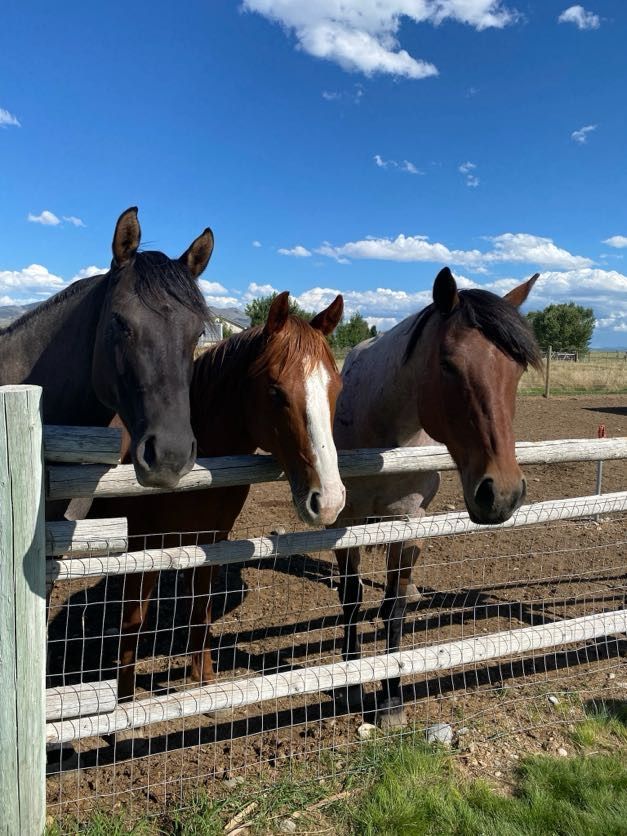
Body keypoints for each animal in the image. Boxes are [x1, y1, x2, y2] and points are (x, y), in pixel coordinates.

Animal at [89, 291, 346, 697]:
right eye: (275, 392)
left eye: (336, 387)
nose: (329, 501)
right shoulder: (143, 545)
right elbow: (134, 617)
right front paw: (126, 696)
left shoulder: (212, 539)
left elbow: (200, 607)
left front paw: (203, 679)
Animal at [332, 267, 542, 728]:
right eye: (448, 364)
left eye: (518, 370)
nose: (501, 494)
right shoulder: (344, 525)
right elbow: (352, 600)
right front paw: (351, 681)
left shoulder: (409, 523)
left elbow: (393, 608)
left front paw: (391, 700)